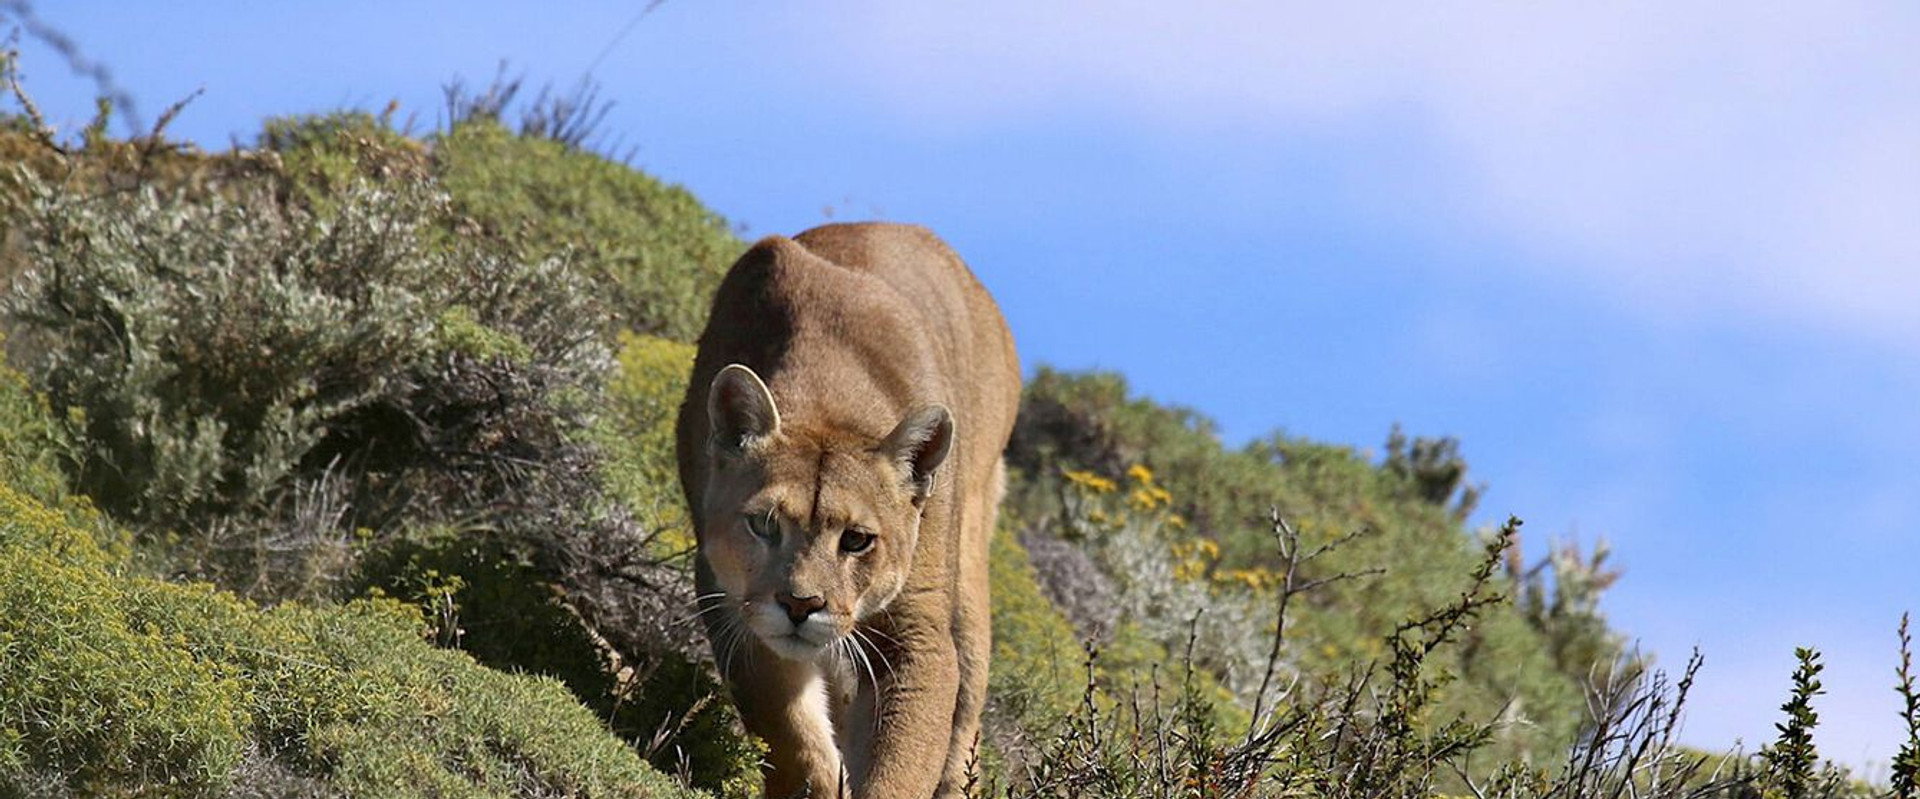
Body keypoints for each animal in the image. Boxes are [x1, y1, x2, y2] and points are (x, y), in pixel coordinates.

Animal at [675, 222, 1021, 798]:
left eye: (857, 539)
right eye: (763, 524)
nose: (800, 605)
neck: (827, 400)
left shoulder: (914, 634)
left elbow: (903, 757)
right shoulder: (732, 603)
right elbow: (788, 729)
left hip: (970, 579)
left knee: (965, 716)